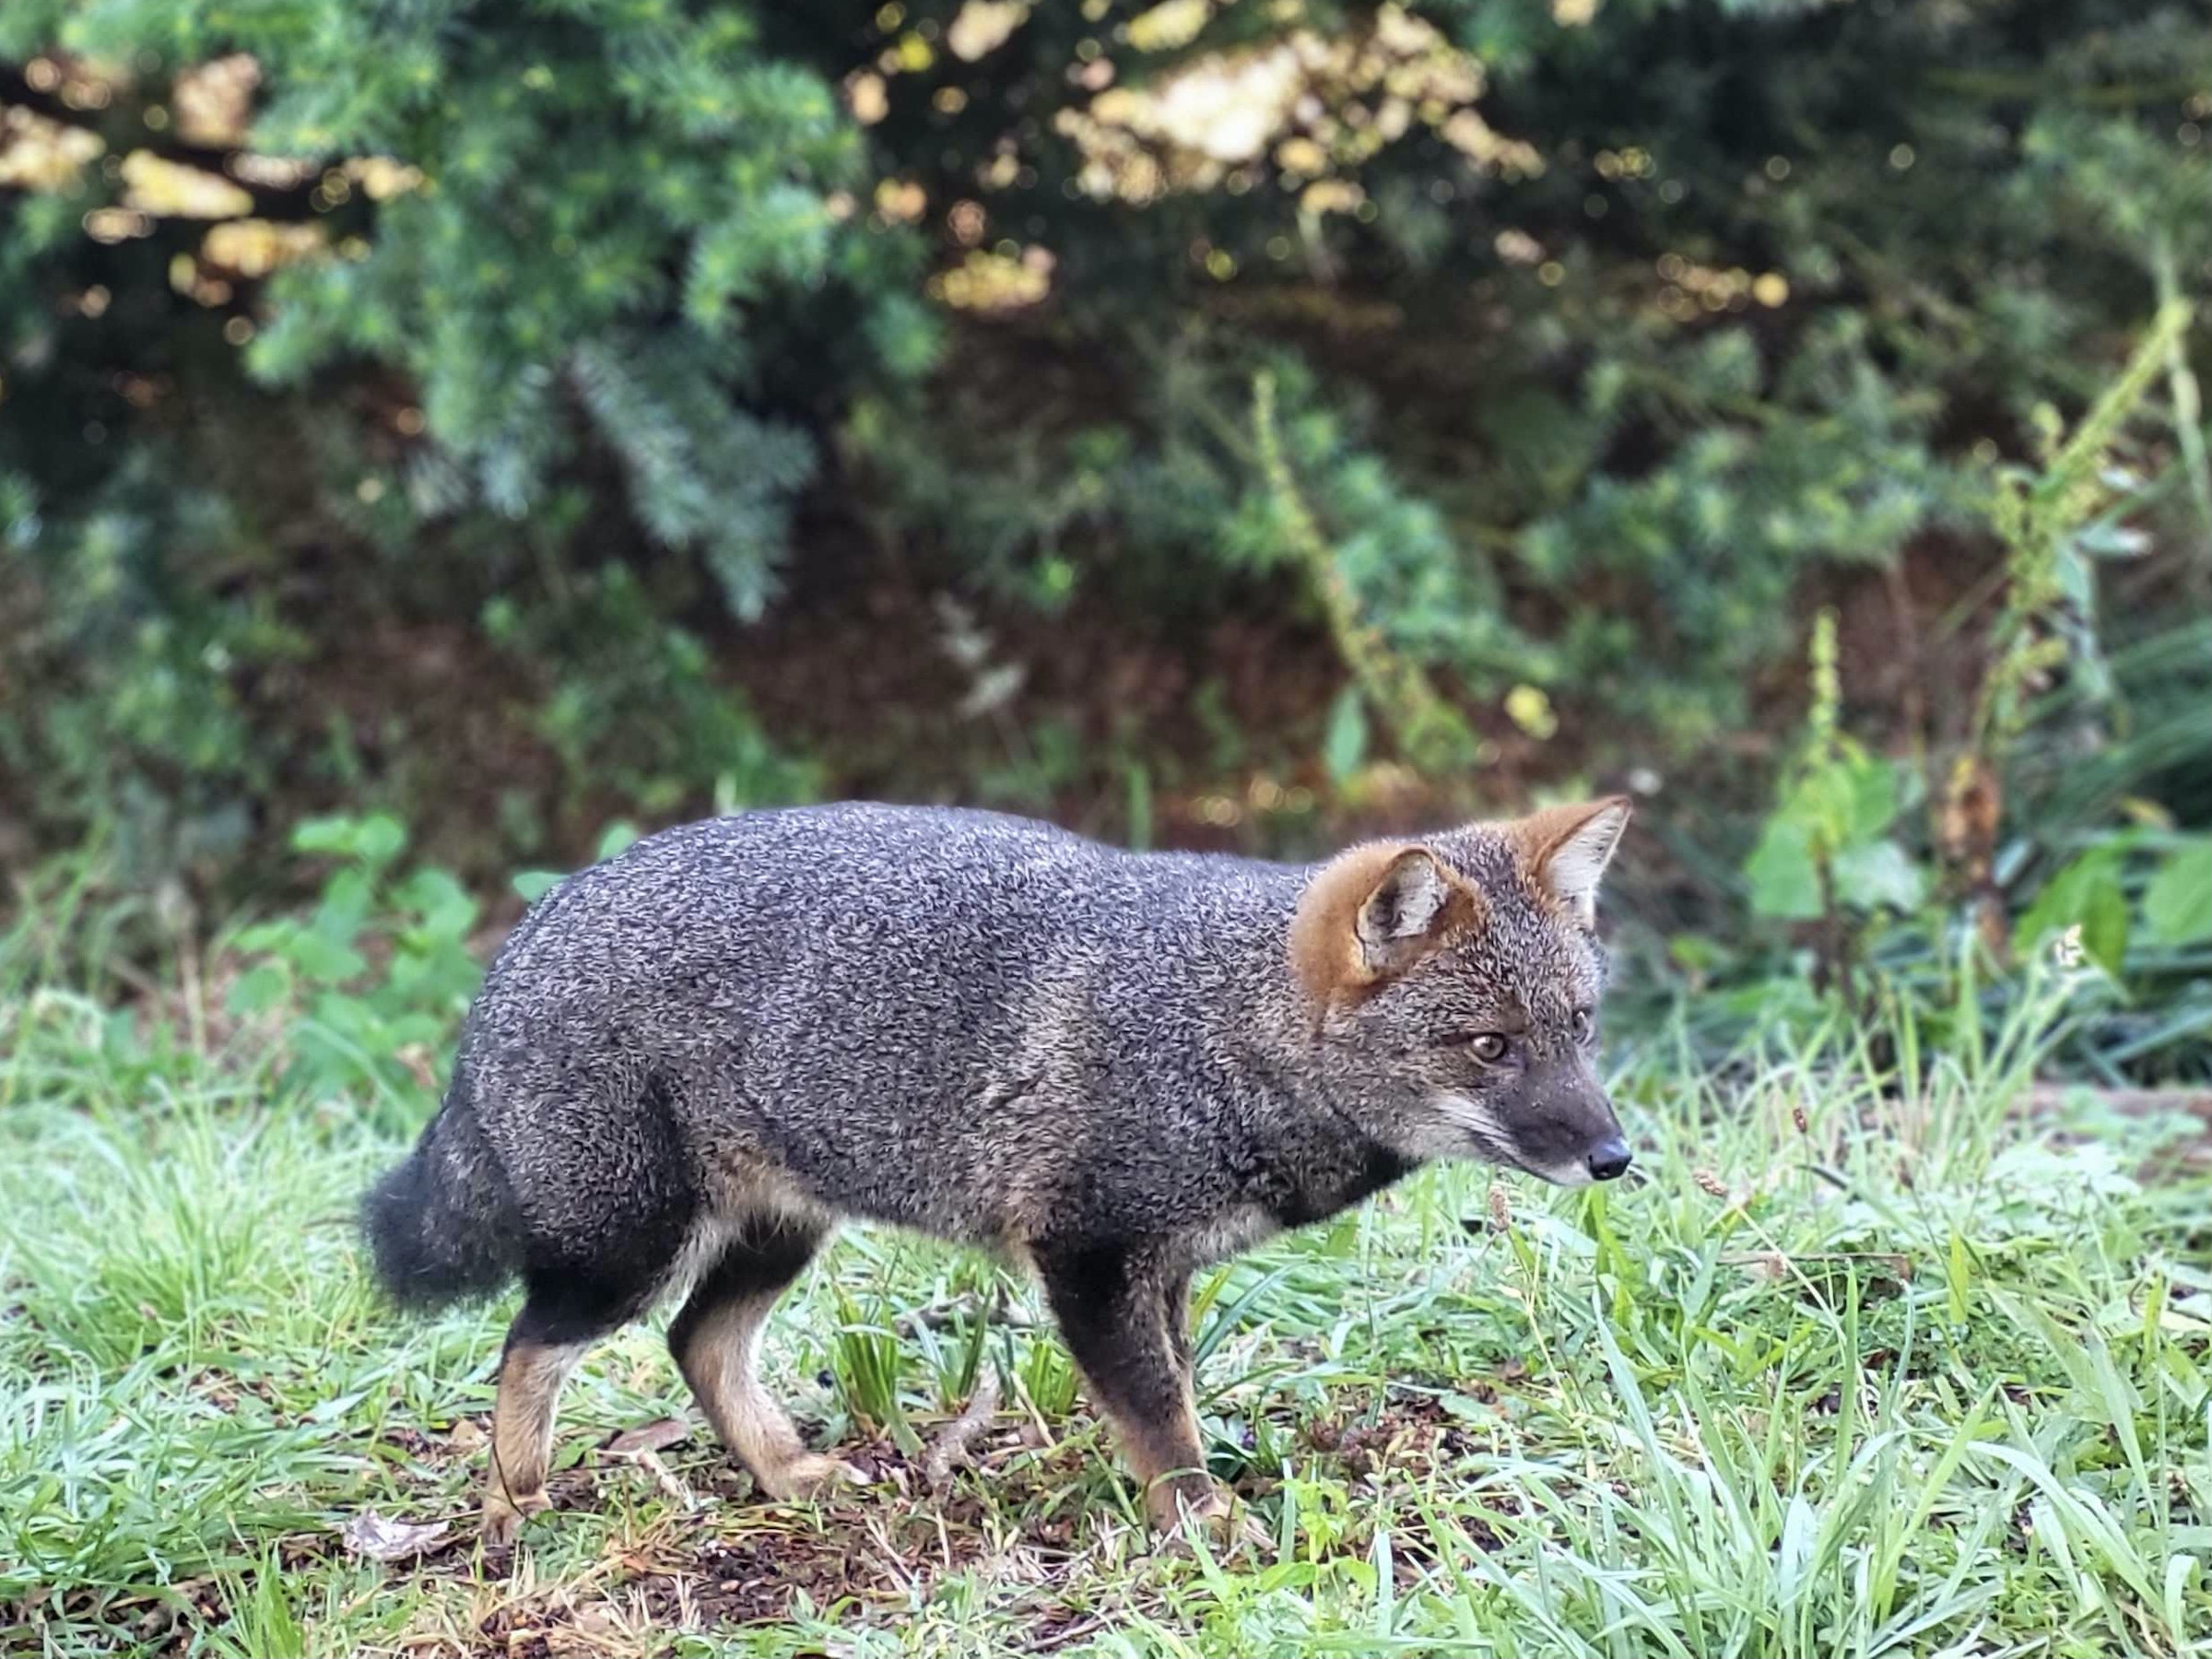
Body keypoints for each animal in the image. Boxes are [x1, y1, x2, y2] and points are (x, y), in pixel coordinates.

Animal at [363, 797, 1634, 1543]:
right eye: (1491, 1047)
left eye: (1580, 1028)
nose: (1616, 1157)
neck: (1213, 1022)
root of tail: (522, 941)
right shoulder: (1089, 1253)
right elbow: (1158, 1413)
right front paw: (1206, 1531)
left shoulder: (1165, 1268)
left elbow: (1170, 1394)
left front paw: (1179, 1506)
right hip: (629, 1248)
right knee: (528, 1348)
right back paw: (514, 1512)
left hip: (776, 1234)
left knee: (696, 1342)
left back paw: (789, 1479)